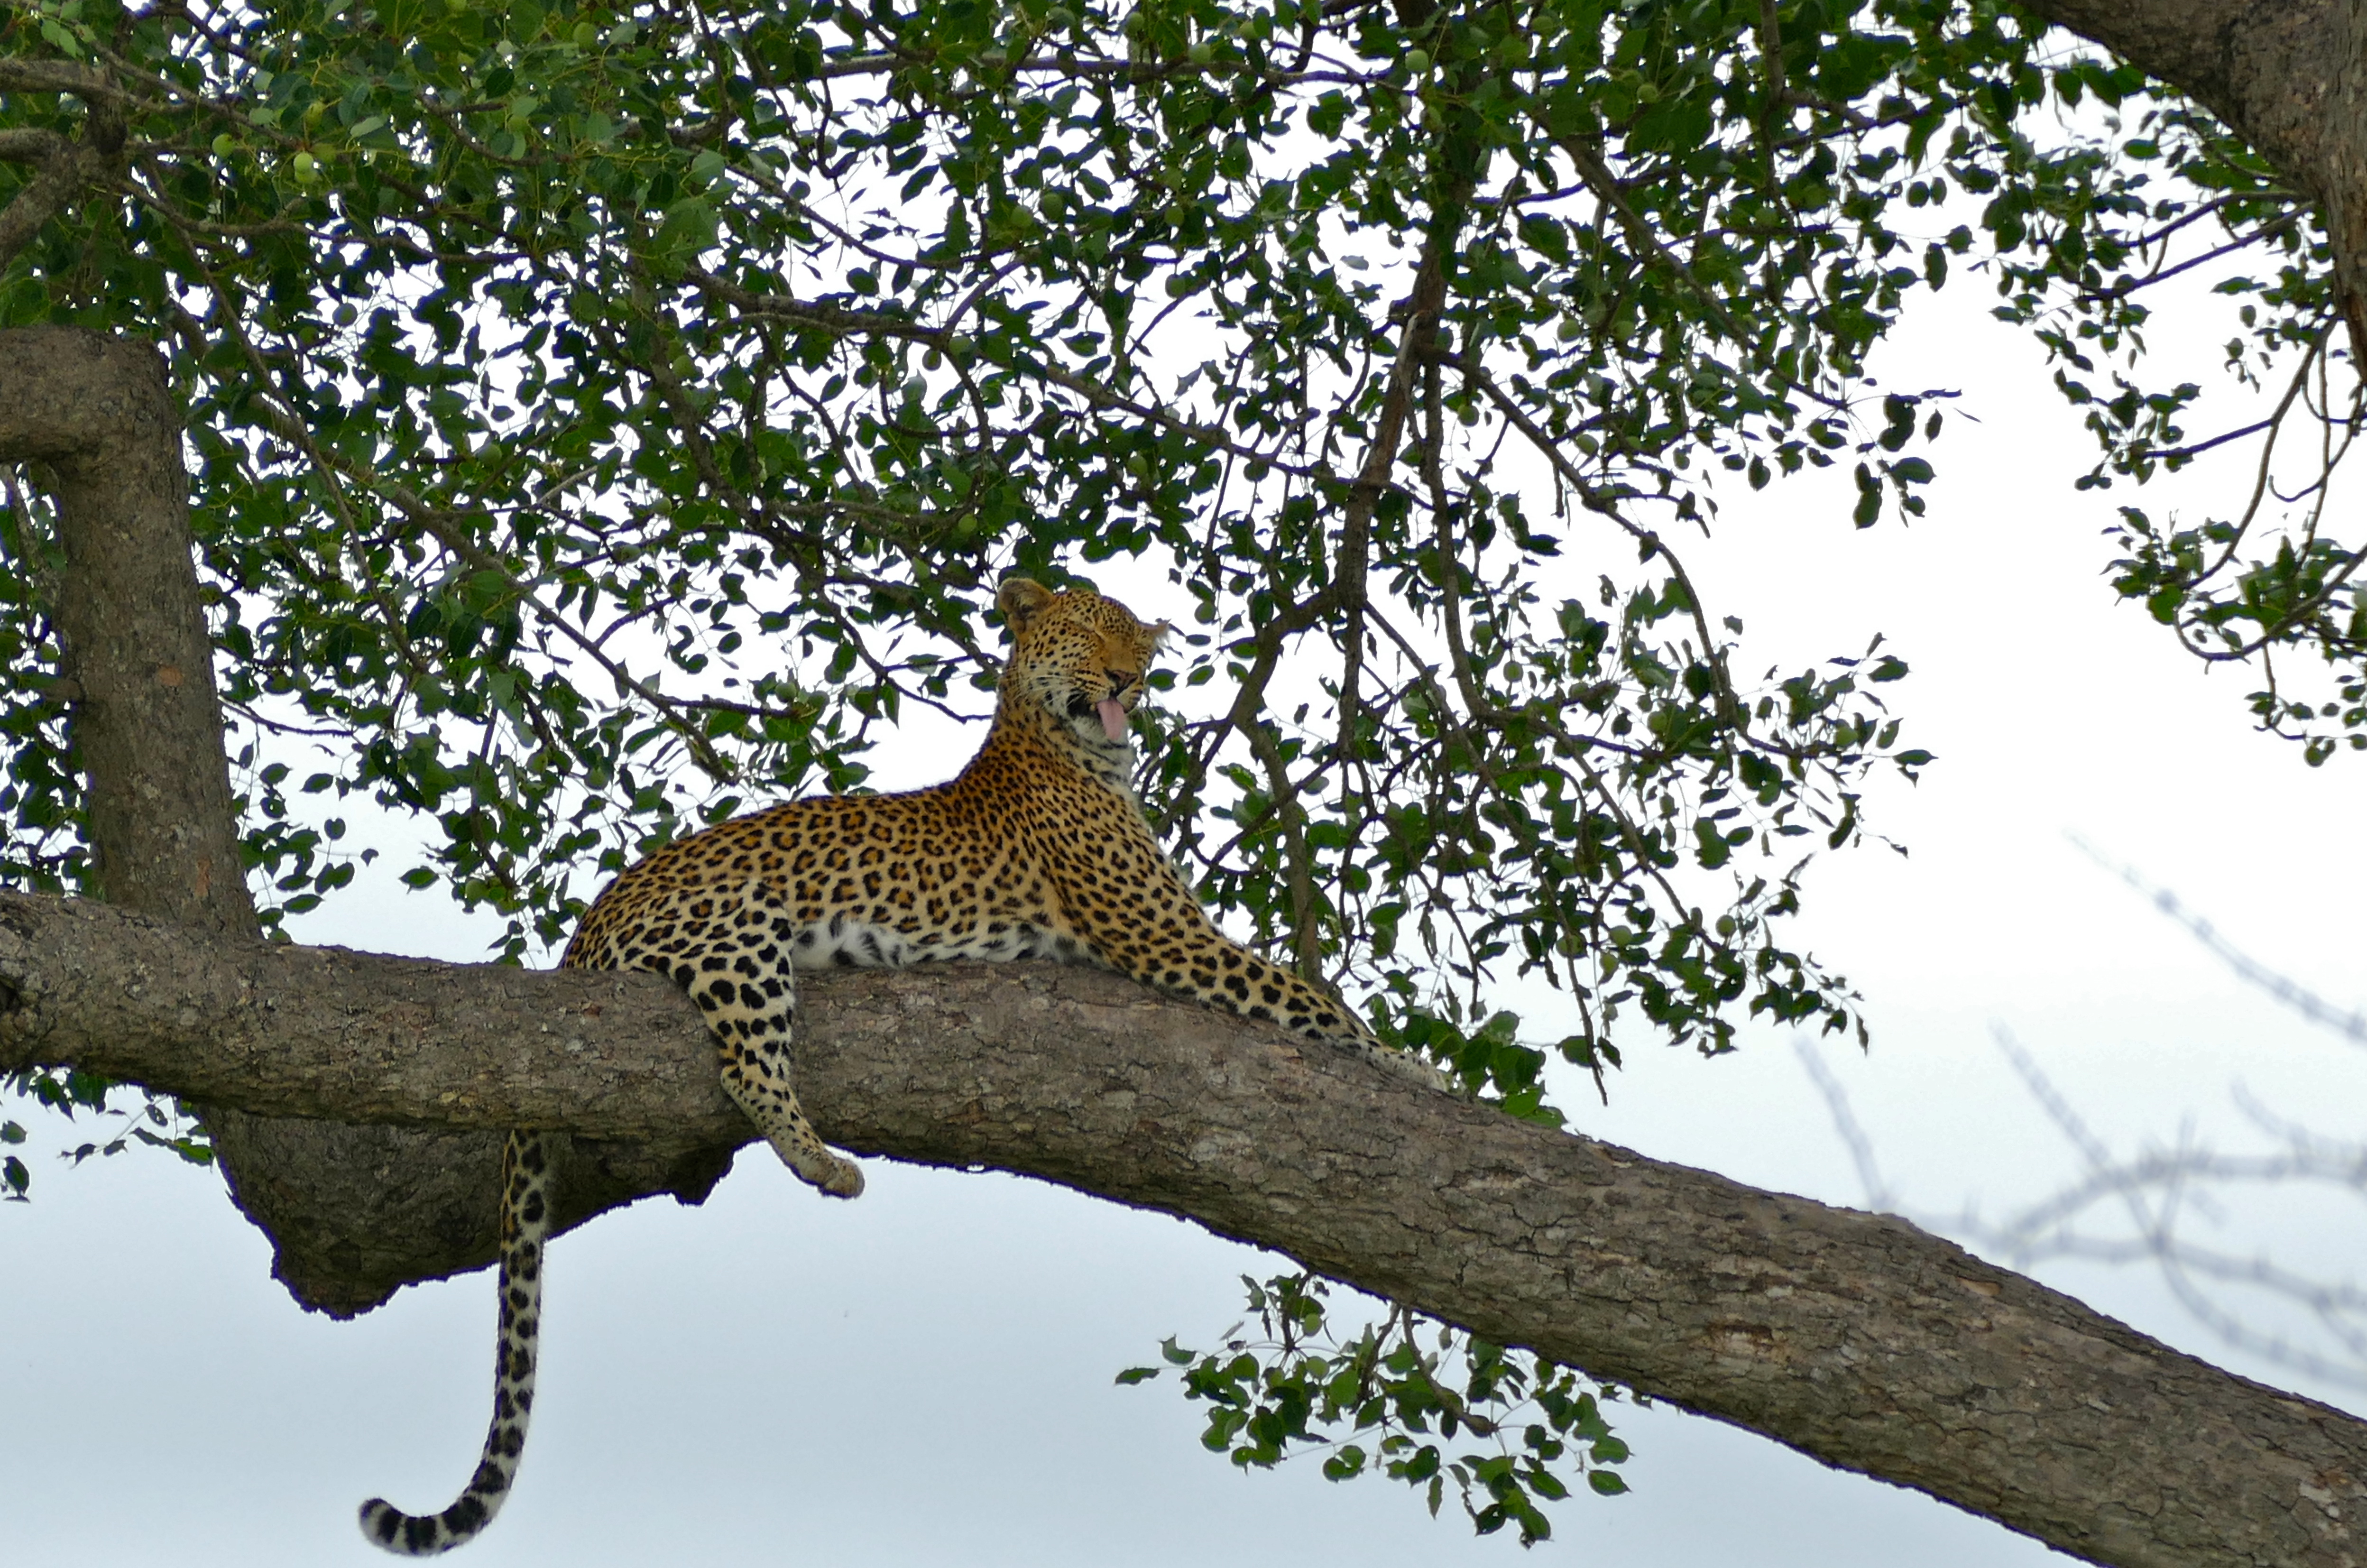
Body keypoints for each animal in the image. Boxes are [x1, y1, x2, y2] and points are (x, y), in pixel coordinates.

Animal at [352, 578, 1420, 1563]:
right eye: (1086, 633)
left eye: (1135, 638)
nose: (1126, 677)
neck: (1069, 748)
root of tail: (585, 926)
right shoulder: (1164, 936)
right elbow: (1310, 995)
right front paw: (1409, 1066)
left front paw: (1402, 1063)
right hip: (741, 934)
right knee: (747, 1064)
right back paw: (827, 1164)